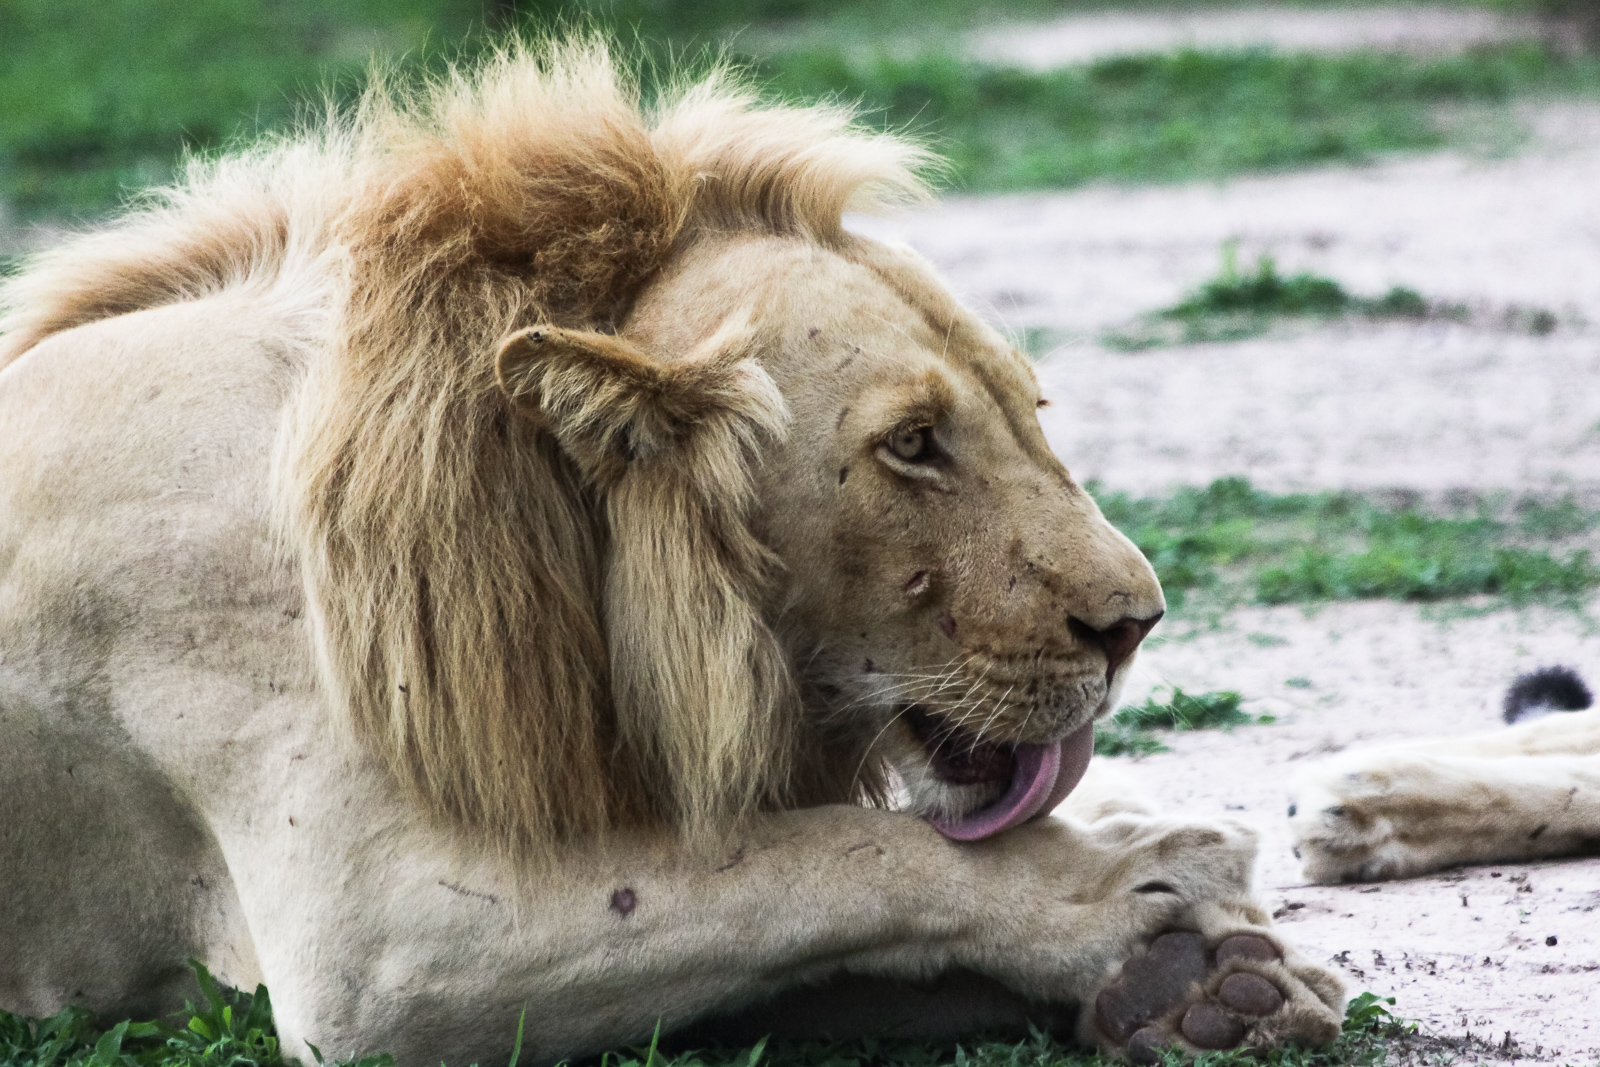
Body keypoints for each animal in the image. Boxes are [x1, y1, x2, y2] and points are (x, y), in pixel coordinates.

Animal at [0, 40, 1342, 1066]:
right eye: (913, 444)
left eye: (1031, 411)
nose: (1135, 623)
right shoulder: (374, 945)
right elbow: (840, 856)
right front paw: (1146, 887)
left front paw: (1198, 981)